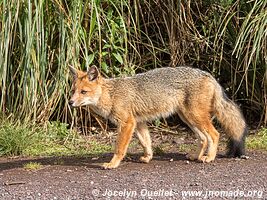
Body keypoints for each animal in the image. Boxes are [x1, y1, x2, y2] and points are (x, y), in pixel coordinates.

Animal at [68, 65, 247, 169]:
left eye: (83, 92)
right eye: (73, 91)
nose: (70, 102)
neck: (111, 95)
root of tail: (209, 75)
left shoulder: (127, 123)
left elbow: (119, 148)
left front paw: (113, 163)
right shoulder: (138, 123)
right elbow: (146, 142)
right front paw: (148, 157)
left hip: (195, 116)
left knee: (215, 134)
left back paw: (209, 158)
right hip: (188, 118)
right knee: (204, 138)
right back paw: (197, 156)